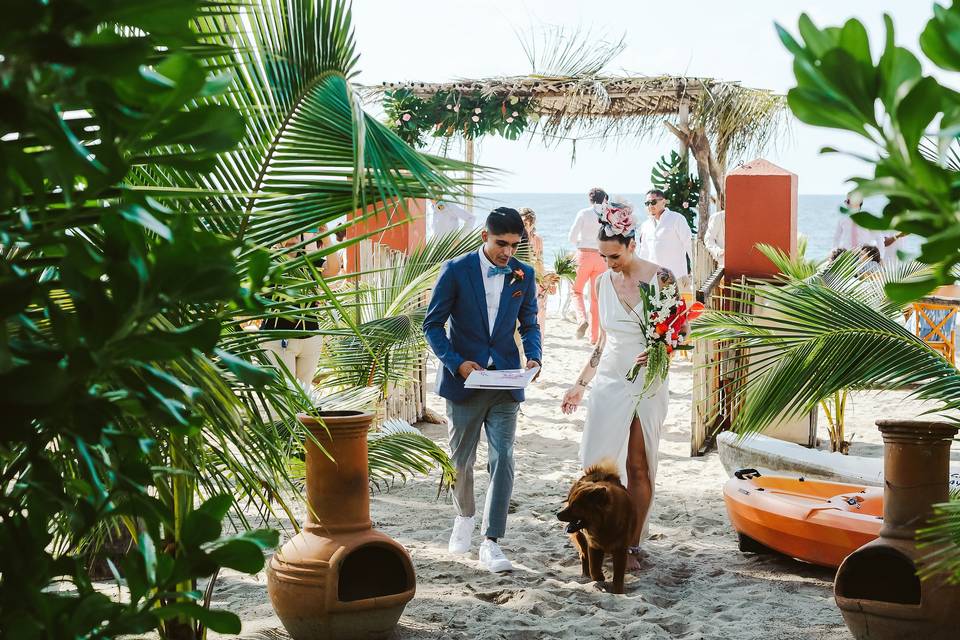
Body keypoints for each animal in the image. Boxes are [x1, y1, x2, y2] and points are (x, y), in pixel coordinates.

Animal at [556, 460, 636, 596]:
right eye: (569, 503)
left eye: (574, 506)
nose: (557, 514)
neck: (605, 524)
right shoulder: (594, 546)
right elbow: (594, 568)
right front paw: (599, 580)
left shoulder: (620, 549)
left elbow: (618, 576)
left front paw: (618, 592)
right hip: (580, 537)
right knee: (583, 555)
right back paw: (585, 574)